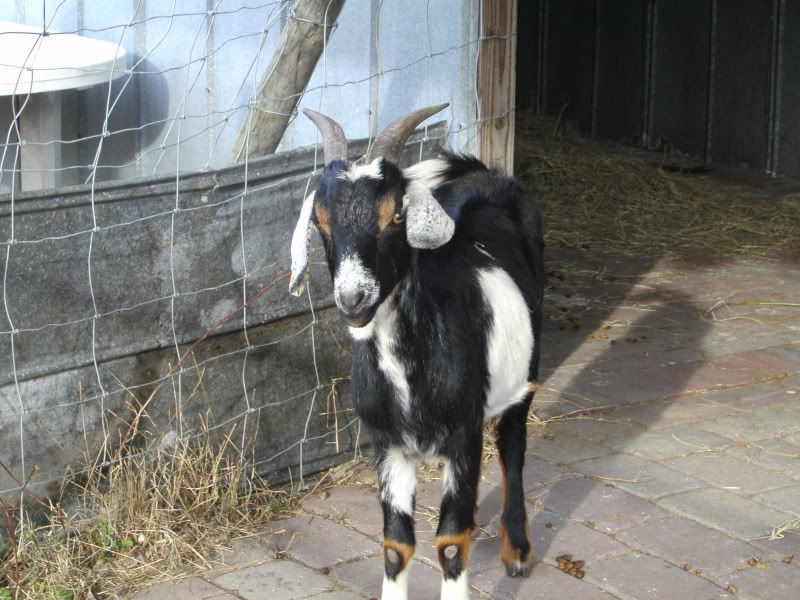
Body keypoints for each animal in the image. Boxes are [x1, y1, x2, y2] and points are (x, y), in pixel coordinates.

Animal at [289, 104, 543, 600]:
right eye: (320, 223)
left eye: (396, 217)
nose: (354, 299)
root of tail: (488, 180)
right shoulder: (386, 444)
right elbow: (395, 545)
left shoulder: (464, 435)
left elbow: (451, 542)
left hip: (526, 370)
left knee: (513, 446)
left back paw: (518, 550)